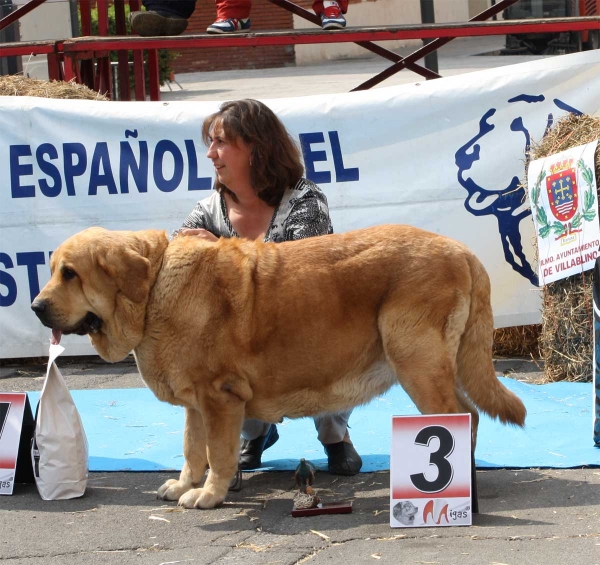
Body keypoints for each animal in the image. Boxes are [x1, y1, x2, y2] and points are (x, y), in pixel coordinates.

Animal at [31, 224, 524, 506]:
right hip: (434, 366)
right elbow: (192, 450)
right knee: (469, 415)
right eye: (53, 269)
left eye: (71, 274)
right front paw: (185, 485)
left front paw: (208, 496)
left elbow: (219, 454)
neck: (153, 290)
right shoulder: (196, 405)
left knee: (459, 417)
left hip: (417, 363)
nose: (36, 307)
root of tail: (464, 252)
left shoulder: (220, 399)